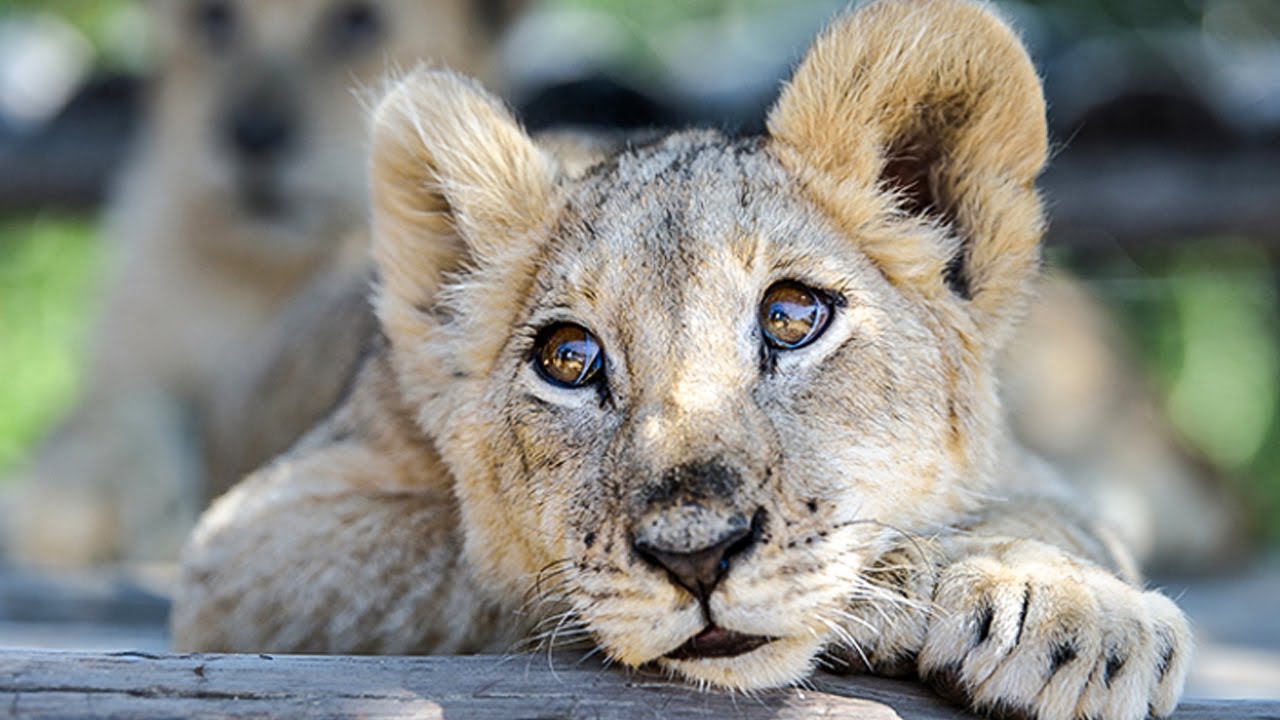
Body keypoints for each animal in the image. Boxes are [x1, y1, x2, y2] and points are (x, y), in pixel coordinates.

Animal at [2, 0, 523, 566]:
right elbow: (128, 430)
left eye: (356, 22)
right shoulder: (125, 376)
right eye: (214, 18)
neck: (264, 273)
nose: (251, 136)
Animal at [172, 2, 1192, 718]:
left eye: (792, 318)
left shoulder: (1030, 468)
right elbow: (475, 562)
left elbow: (1067, 516)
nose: (696, 557)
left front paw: (1077, 613)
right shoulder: (252, 545)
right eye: (569, 358)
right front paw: (893, 587)